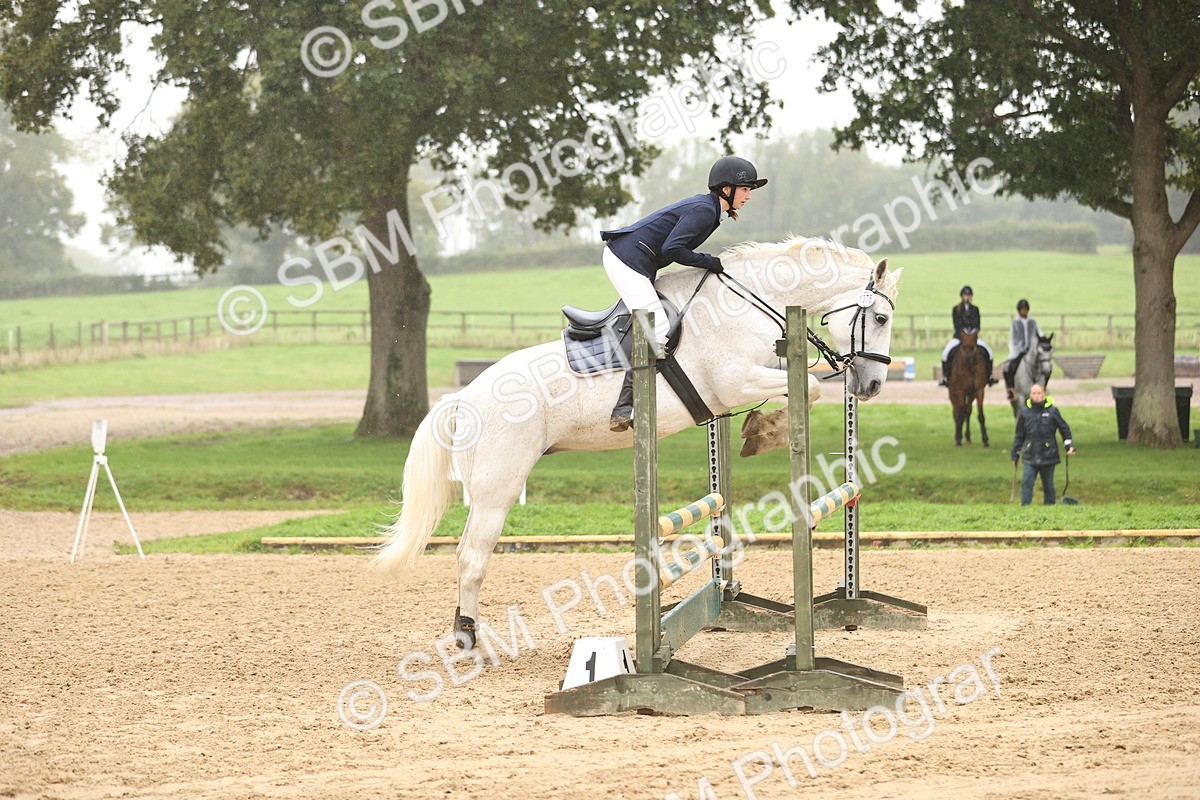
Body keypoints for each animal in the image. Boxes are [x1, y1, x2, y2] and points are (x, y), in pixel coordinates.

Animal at [370, 236, 904, 648]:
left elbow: (805, 384)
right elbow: (809, 386)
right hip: (496, 487)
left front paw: (756, 430)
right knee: (471, 556)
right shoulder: (734, 383)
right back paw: (466, 634)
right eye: (879, 318)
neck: (746, 304)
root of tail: (463, 396)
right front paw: (764, 432)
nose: (873, 385)